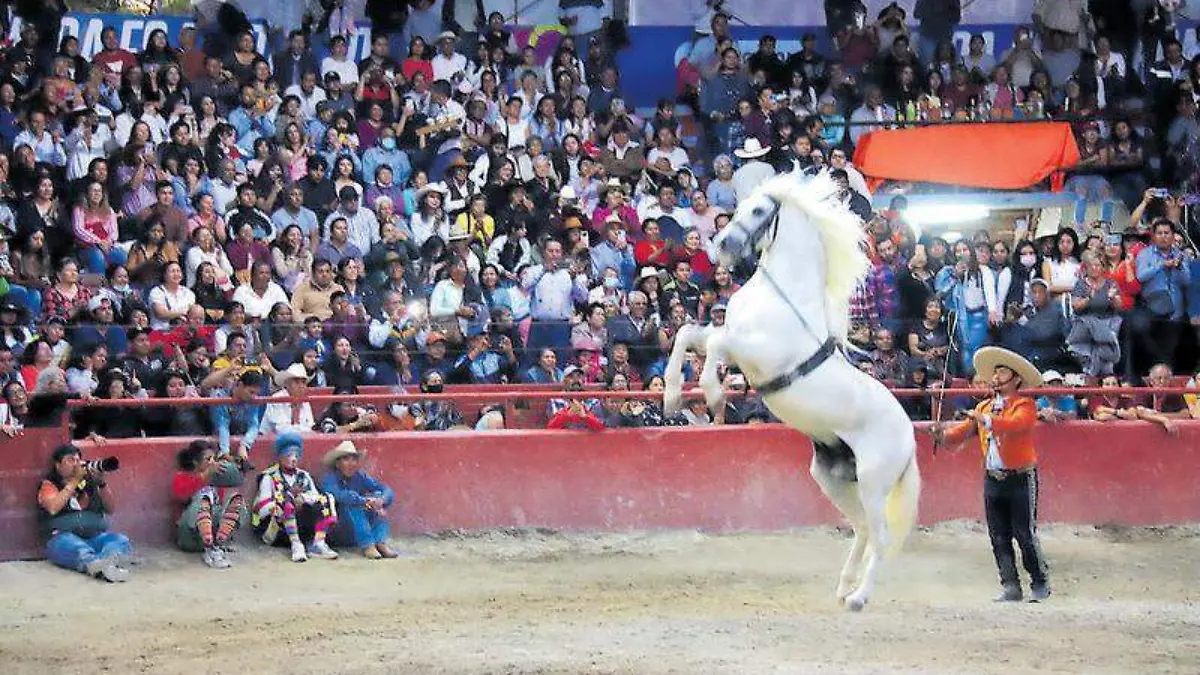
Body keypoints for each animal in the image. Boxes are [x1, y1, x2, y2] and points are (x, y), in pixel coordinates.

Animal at [663, 173, 920, 611]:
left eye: (758, 210)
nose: (722, 246)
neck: (781, 296)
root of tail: (910, 438)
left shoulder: (753, 352)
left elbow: (713, 345)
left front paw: (712, 393)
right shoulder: (731, 336)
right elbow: (688, 334)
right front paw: (672, 396)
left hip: (873, 482)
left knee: (881, 535)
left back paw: (859, 597)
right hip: (833, 477)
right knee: (862, 528)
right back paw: (844, 588)